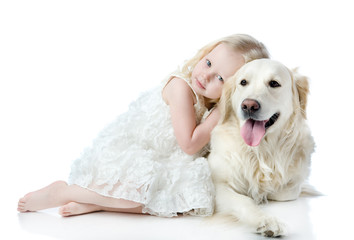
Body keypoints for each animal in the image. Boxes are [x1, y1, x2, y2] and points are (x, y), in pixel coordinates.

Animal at [207, 59, 316, 237]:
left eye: (274, 83)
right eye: (243, 82)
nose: (249, 105)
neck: (261, 150)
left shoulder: (293, 184)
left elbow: (284, 191)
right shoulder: (216, 185)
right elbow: (245, 200)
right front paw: (267, 221)